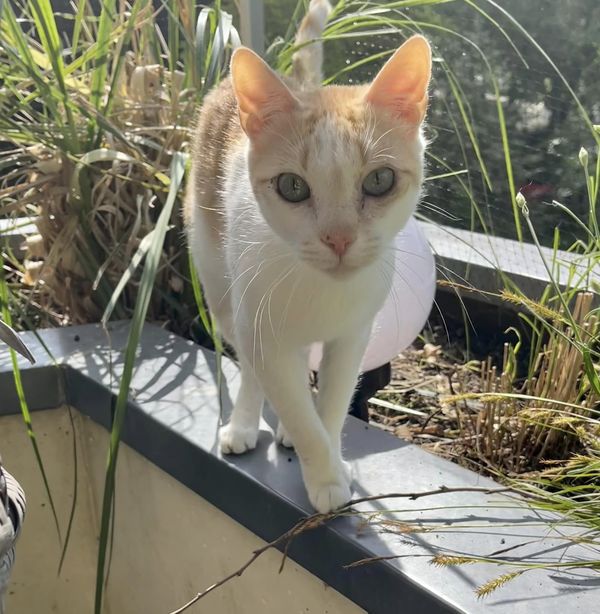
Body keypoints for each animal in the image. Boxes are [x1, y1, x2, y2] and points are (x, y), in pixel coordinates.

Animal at [184, 0, 432, 513]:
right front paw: (325, 475)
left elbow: (333, 403)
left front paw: (330, 457)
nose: (338, 238)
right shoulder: (262, 332)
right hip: (222, 285)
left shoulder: (354, 335)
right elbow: (292, 401)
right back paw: (245, 424)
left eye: (379, 180)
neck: (321, 293)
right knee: (253, 366)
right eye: (292, 187)